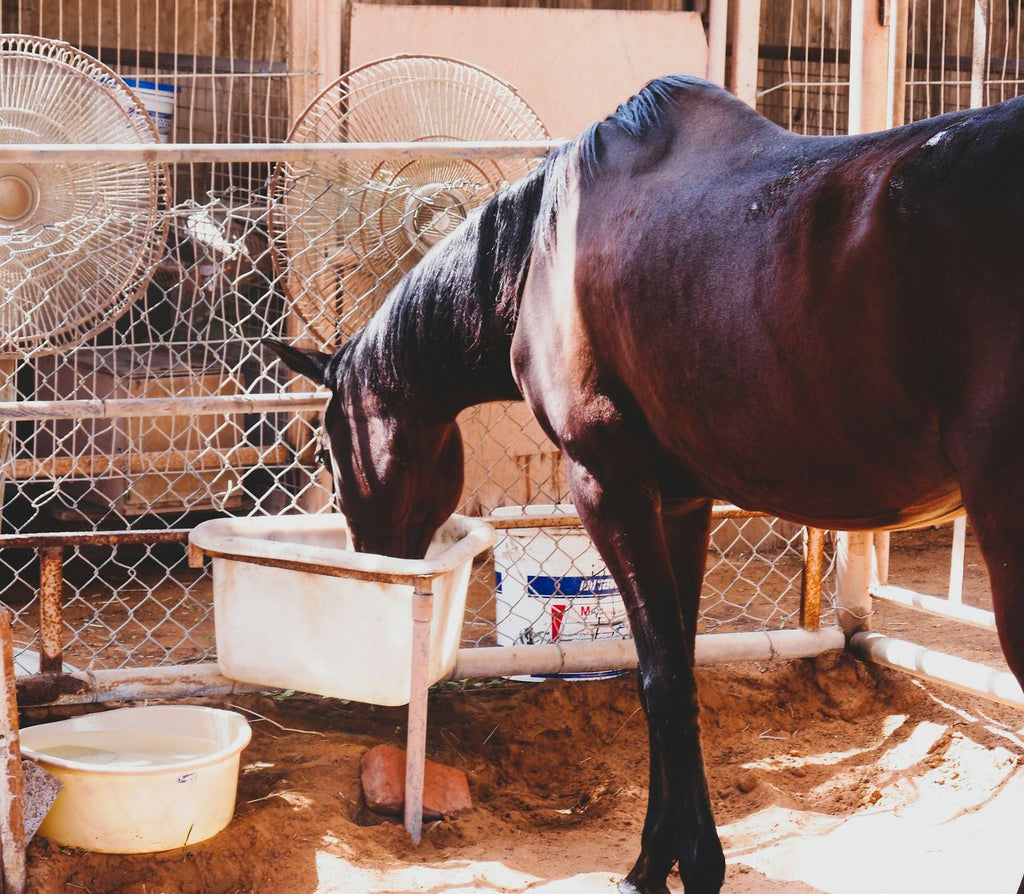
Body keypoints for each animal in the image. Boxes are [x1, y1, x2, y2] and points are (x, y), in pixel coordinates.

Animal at [262, 78, 1024, 892]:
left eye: (330, 448)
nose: (368, 556)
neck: (541, 253)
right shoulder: (681, 504)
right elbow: (675, 668)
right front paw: (655, 859)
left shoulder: (610, 487)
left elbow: (658, 679)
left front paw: (689, 864)